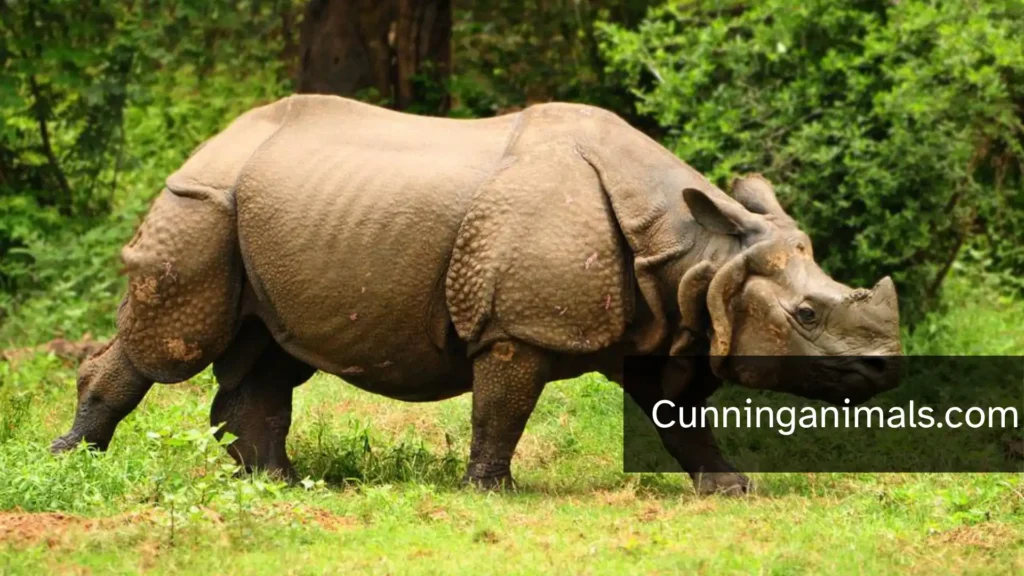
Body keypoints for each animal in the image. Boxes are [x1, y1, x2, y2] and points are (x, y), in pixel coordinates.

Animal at [52, 95, 901, 494]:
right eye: (807, 314)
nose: (887, 369)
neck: (698, 256)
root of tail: (213, 141)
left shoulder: (668, 321)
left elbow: (679, 418)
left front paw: (731, 487)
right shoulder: (517, 326)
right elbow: (502, 408)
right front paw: (493, 490)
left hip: (265, 212)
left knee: (269, 353)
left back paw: (280, 484)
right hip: (201, 202)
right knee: (172, 344)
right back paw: (74, 464)